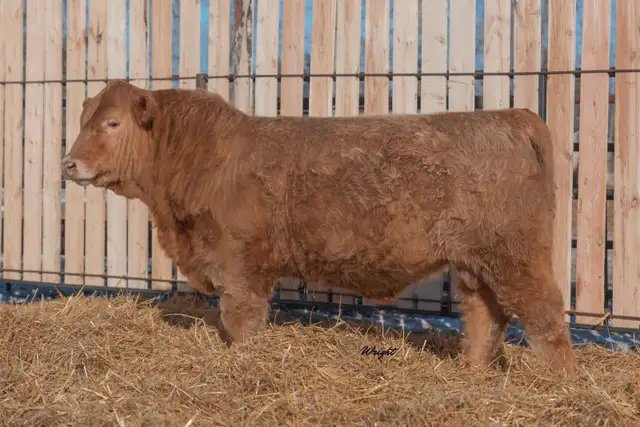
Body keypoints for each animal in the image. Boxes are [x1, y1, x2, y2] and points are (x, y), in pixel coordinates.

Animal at [62, 80, 576, 375]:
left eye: (112, 123)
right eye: (84, 119)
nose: (69, 163)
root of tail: (512, 116)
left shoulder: (238, 262)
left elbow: (239, 316)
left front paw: (241, 358)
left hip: (516, 254)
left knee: (545, 312)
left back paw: (561, 381)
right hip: (477, 260)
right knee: (486, 314)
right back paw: (472, 371)